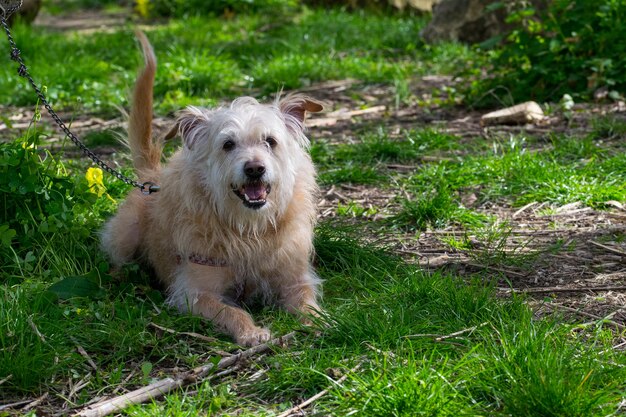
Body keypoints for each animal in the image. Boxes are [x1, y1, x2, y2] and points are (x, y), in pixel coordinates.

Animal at [101, 31, 322, 344]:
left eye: (270, 141)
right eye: (228, 144)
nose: (255, 168)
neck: (249, 230)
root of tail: (151, 177)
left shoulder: (295, 278)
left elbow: (306, 301)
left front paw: (320, 322)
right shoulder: (194, 292)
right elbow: (232, 311)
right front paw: (251, 332)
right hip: (125, 235)